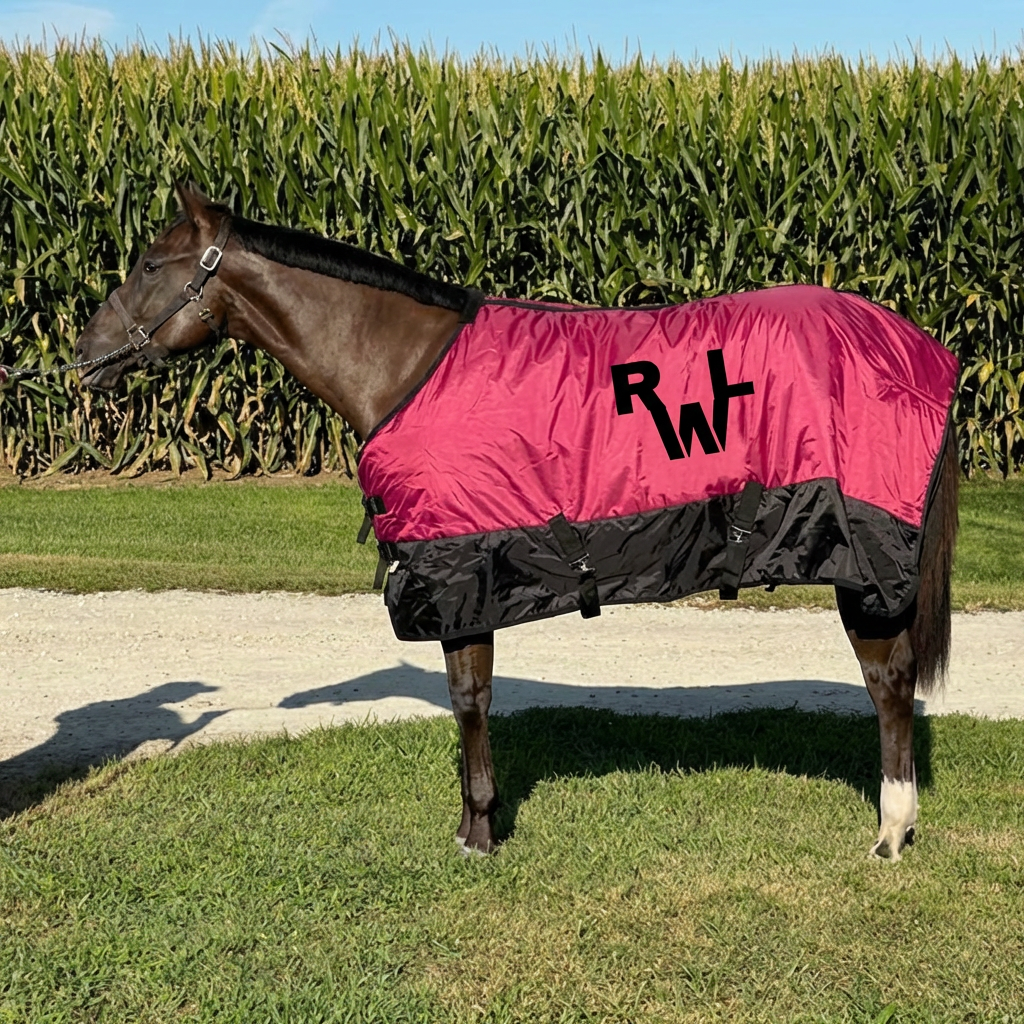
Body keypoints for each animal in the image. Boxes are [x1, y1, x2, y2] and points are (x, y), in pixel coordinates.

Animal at [75, 183, 959, 862]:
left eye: (150, 264)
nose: (83, 354)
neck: (407, 367)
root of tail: (917, 348)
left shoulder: (460, 573)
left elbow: (470, 700)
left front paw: (478, 835)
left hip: (862, 556)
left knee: (888, 682)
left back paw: (891, 833)